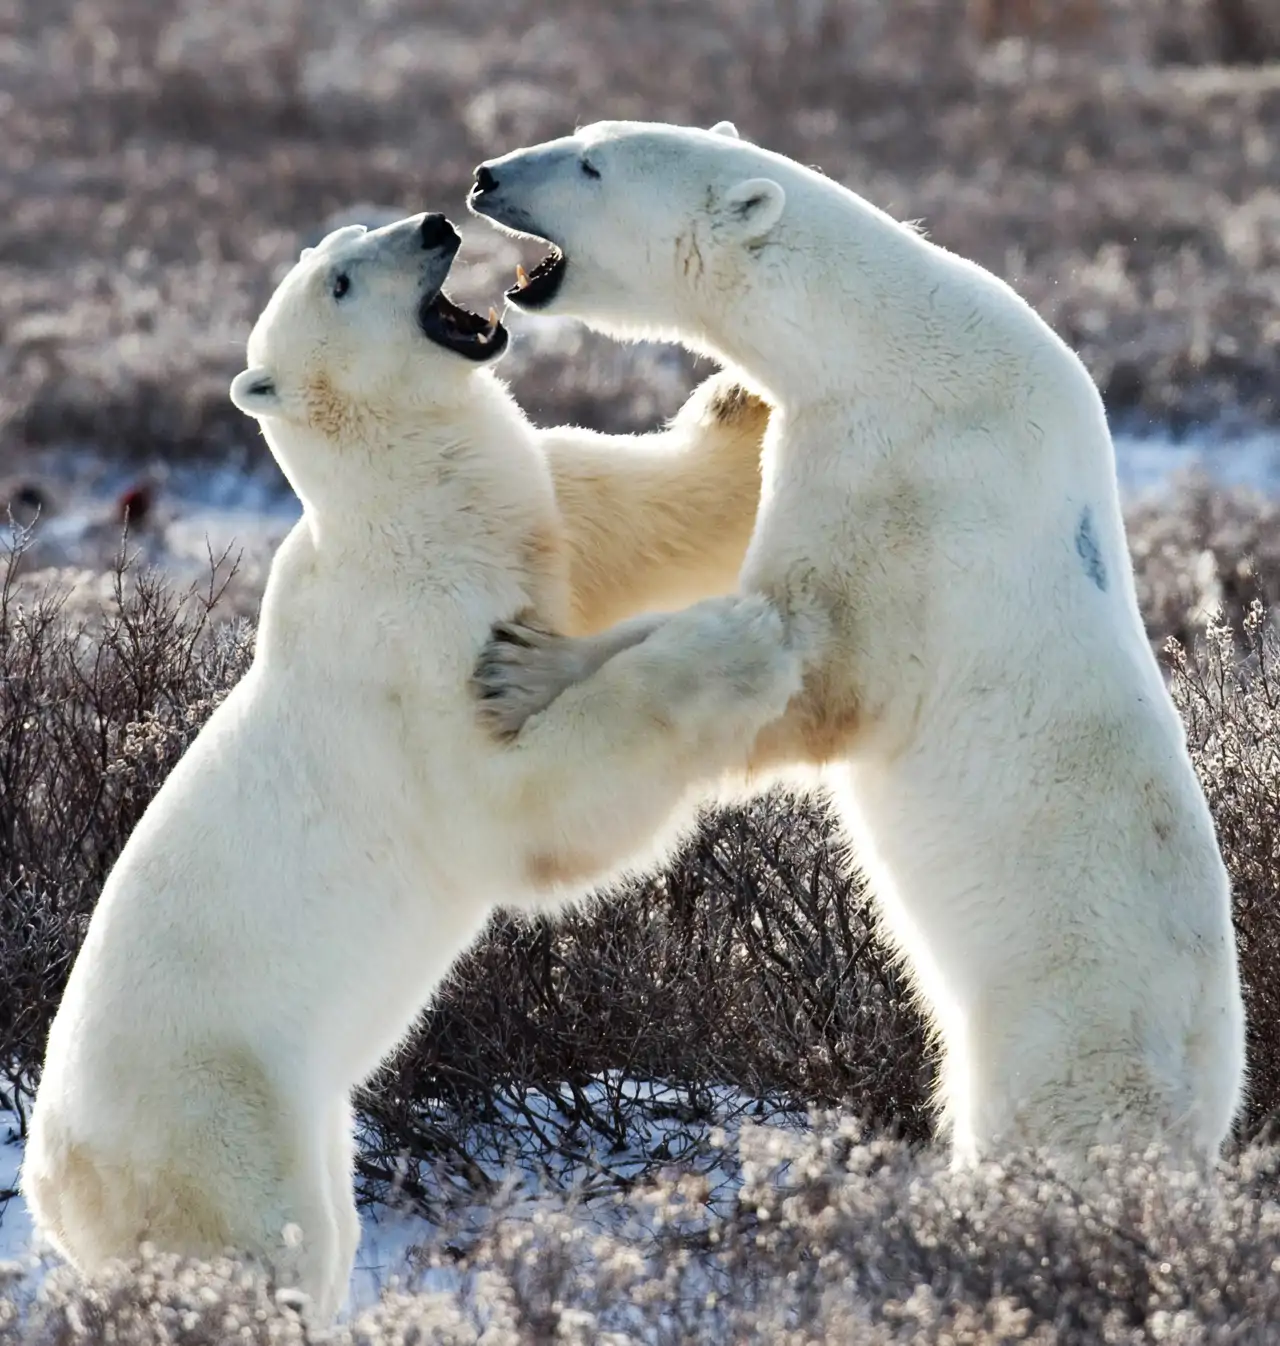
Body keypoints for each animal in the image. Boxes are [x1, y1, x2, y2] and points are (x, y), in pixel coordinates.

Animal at [21, 211, 802, 1323]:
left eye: (355, 229)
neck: (412, 518)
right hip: (214, 1117)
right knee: (265, 1252)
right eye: (343, 280)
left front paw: (743, 401)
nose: (434, 225)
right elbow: (517, 807)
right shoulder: (410, 653)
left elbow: (640, 512)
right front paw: (734, 642)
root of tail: (49, 1181)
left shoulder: (531, 511)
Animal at [467, 120, 1247, 1168]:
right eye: (583, 136)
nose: (486, 175)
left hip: (1061, 1037)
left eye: (591, 164)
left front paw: (525, 667)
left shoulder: (908, 481)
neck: (882, 342)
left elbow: (821, 658)